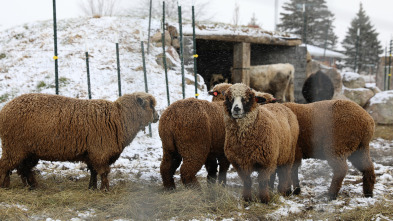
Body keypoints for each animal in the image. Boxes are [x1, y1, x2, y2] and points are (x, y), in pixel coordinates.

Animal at [0, 92, 159, 191]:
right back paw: (5, 185)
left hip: (28, 151)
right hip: (13, 147)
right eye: (150, 105)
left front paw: (92, 188)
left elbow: (94, 172)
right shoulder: (100, 153)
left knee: (24, 168)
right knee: (5, 166)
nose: (157, 116)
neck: (119, 117)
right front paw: (105, 189)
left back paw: (32, 186)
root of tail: (5, 109)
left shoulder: (92, 154)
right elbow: (104, 173)